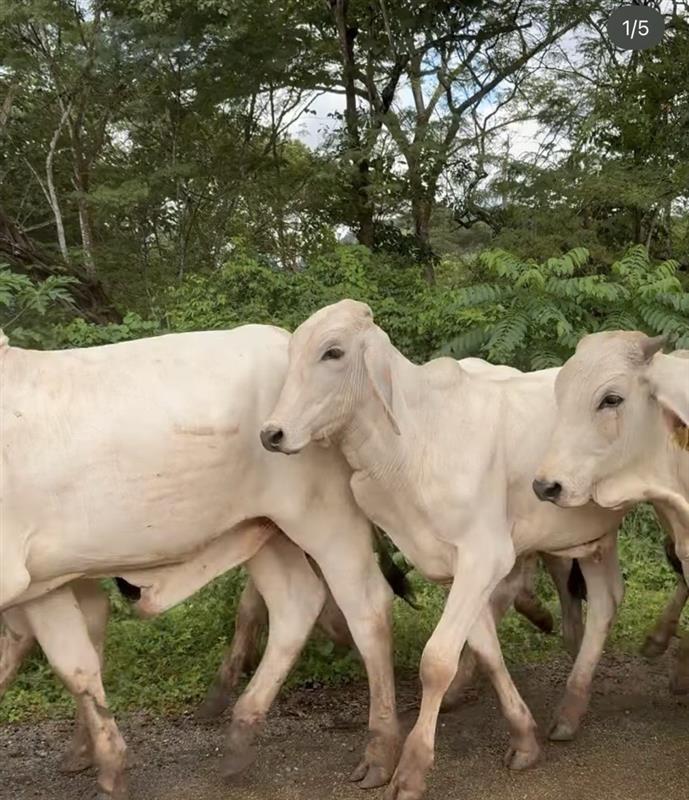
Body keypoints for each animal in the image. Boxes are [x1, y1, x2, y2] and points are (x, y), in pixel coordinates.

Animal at [0, 325, 400, 799]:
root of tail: (283, 335)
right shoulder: (44, 583)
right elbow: (74, 664)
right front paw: (104, 760)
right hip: (263, 531)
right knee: (295, 605)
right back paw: (240, 733)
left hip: (325, 519)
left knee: (367, 607)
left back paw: (381, 750)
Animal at [260, 299, 628, 800]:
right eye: (294, 350)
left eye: (332, 352)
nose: (272, 433)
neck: (415, 443)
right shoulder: (457, 567)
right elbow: (487, 651)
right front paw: (525, 738)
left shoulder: (485, 556)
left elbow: (436, 661)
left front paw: (412, 769)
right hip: (593, 540)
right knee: (606, 600)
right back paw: (570, 709)